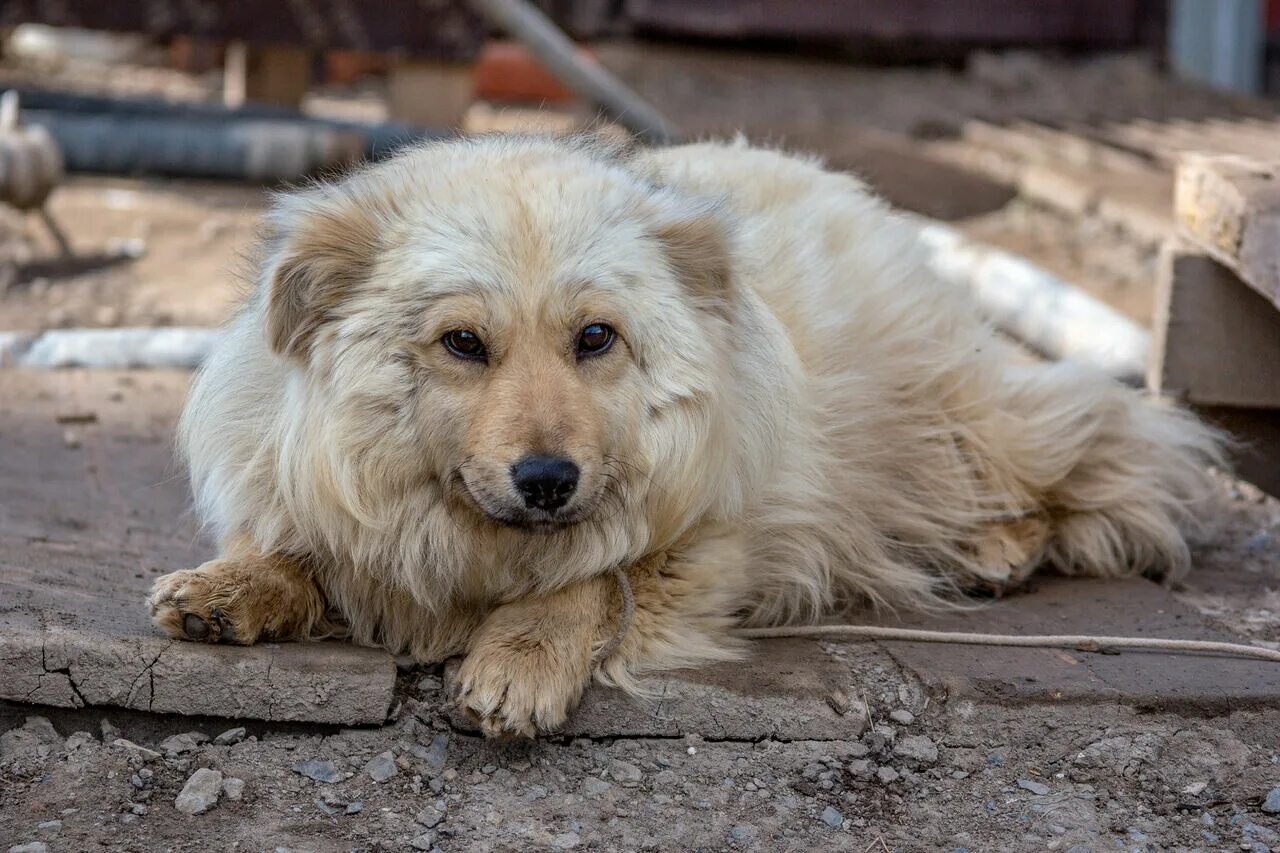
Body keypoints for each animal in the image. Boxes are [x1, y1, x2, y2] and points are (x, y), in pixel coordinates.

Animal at [147, 136, 1218, 732]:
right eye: (462, 343)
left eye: (595, 337)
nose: (548, 478)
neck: (473, 543)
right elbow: (293, 543)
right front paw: (230, 586)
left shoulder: (707, 550)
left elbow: (592, 581)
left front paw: (520, 656)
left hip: (954, 418)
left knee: (1107, 448)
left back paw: (1001, 544)